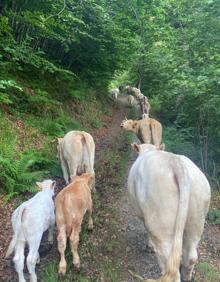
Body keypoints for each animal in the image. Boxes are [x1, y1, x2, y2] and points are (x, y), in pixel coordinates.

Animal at [128, 144, 211, 280]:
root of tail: (175, 162)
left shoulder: (142, 214)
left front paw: (149, 245)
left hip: (160, 221)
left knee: (169, 264)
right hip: (197, 217)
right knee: (191, 257)